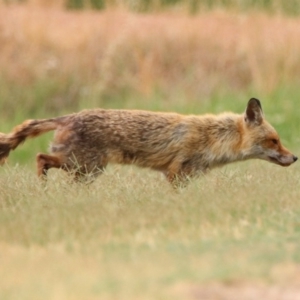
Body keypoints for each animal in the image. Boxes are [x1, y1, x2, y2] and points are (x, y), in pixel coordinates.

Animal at [0, 98, 296, 185]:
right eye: (274, 141)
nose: (294, 157)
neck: (214, 138)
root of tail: (70, 116)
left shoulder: (186, 175)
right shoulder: (177, 173)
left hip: (85, 171)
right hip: (84, 167)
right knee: (40, 158)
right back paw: (42, 188)